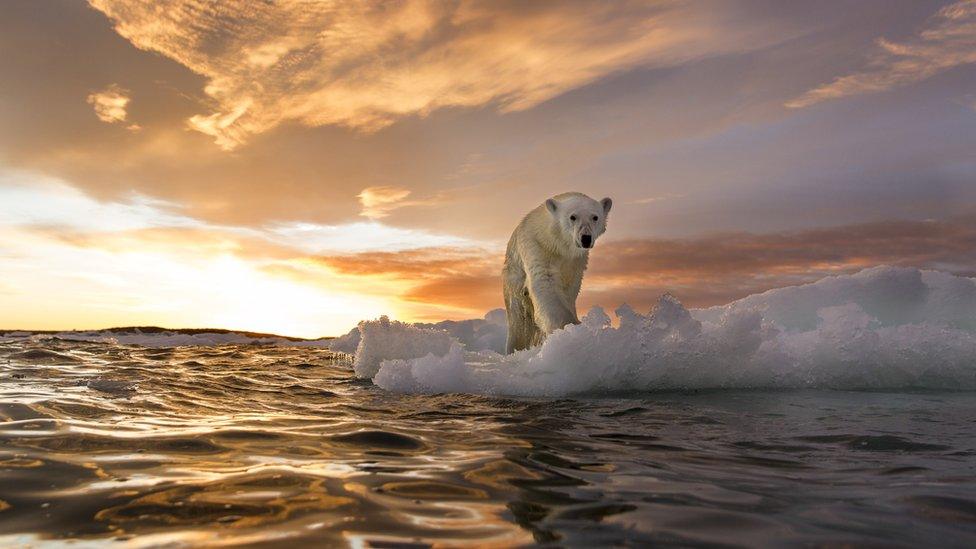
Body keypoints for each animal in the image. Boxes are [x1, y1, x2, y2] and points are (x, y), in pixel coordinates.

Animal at [504, 192, 608, 352]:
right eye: (573, 217)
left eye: (595, 217)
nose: (585, 238)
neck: (558, 245)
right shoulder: (538, 247)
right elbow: (545, 283)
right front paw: (569, 329)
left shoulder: (576, 262)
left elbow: (570, 289)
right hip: (514, 281)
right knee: (520, 321)